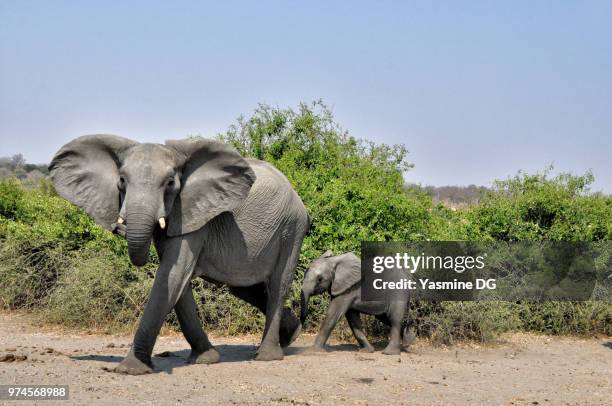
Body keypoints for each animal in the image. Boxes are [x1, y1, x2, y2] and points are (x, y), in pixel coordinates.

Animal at [48, 136, 308, 374]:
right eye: (121, 181)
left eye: (170, 183)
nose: (118, 225)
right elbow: (177, 282)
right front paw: (206, 359)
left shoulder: (191, 212)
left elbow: (172, 275)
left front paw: (130, 369)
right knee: (244, 288)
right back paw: (291, 335)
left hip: (292, 228)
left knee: (278, 284)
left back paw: (267, 355)